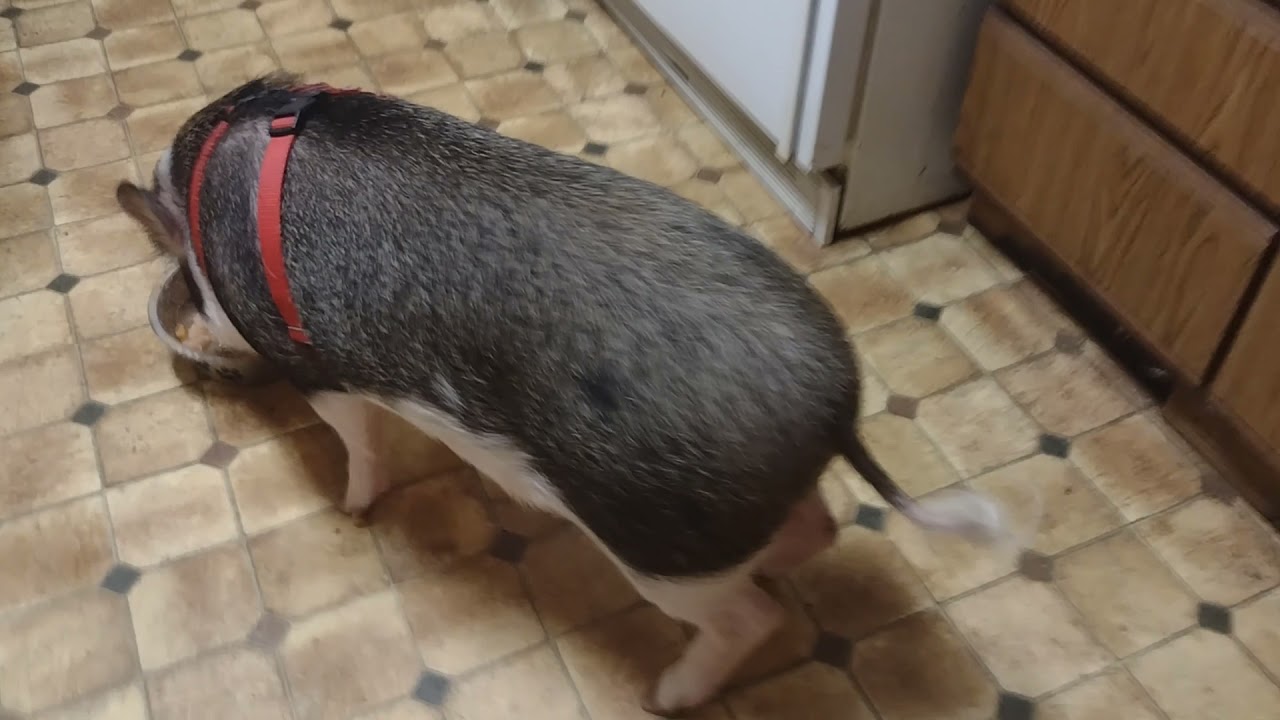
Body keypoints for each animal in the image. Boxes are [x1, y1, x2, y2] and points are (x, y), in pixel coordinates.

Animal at [116, 74, 1007, 716]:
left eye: (189, 273)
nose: (200, 327)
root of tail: (837, 402)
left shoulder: (322, 373)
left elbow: (358, 443)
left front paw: (354, 510)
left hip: (655, 545)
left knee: (752, 615)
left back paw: (666, 696)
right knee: (815, 531)